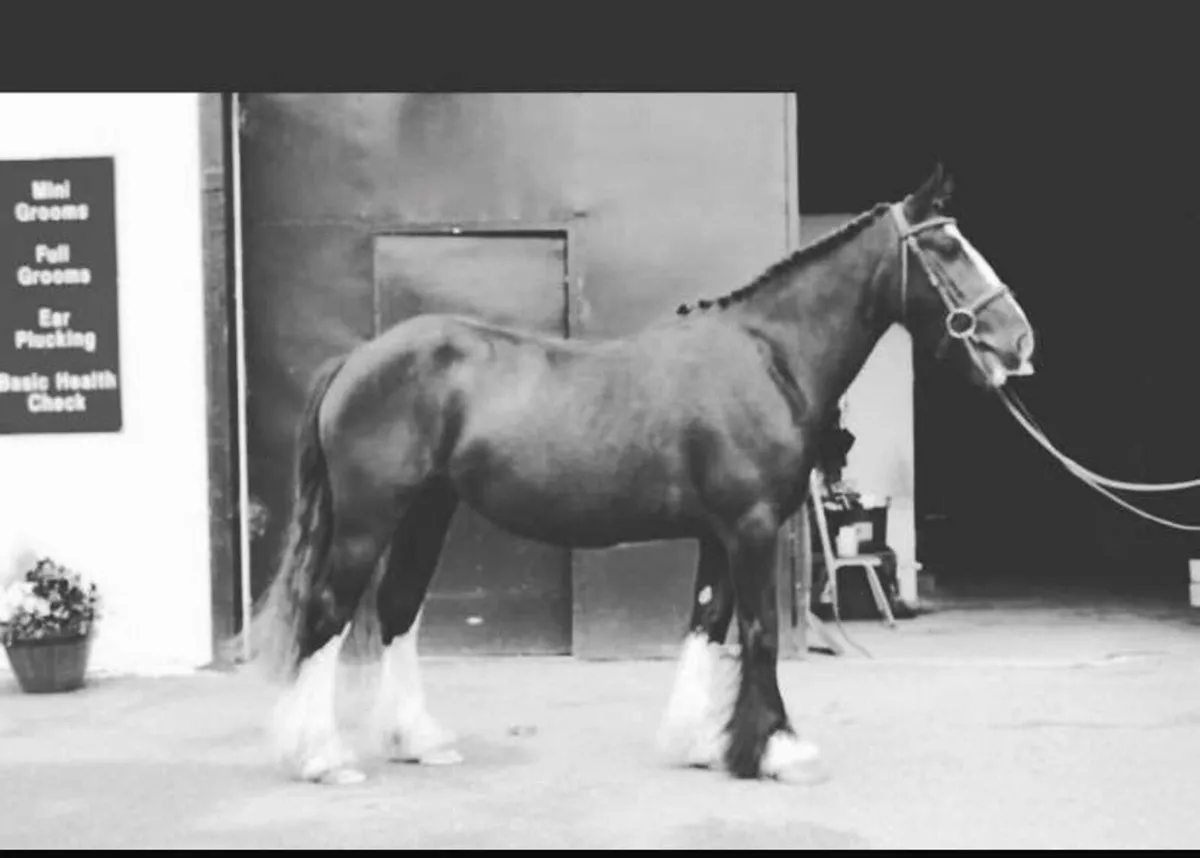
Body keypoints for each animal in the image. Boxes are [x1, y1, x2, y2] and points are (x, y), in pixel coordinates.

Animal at [240, 163, 1036, 786]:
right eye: (946, 246)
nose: (1020, 341)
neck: (767, 357)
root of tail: (360, 358)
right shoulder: (750, 529)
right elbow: (758, 631)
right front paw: (778, 751)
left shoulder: (720, 534)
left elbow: (708, 624)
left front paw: (700, 744)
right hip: (368, 519)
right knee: (329, 613)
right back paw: (321, 758)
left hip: (427, 512)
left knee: (397, 609)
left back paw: (419, 742)